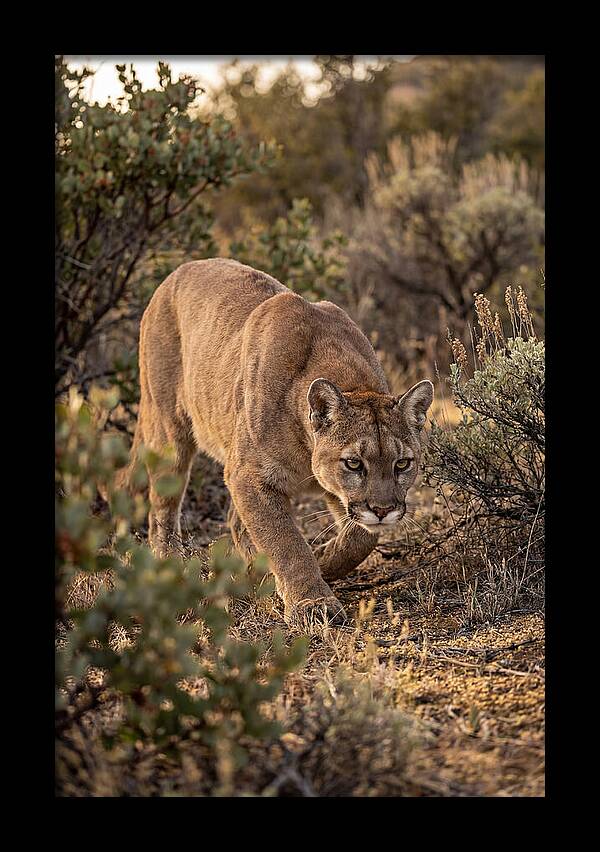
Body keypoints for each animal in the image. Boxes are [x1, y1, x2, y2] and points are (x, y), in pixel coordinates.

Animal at [117, 258, 433, 624]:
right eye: (354, 463)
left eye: (402, 464)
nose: (383, 510)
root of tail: (177, 271)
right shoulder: (250, 475)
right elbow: (285, 541)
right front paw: (313, 603)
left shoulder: (326, 490)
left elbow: (360, 538)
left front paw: (323, 558)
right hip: (170, 430)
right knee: (163, 507)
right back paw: (171, 562)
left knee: (234, 522)